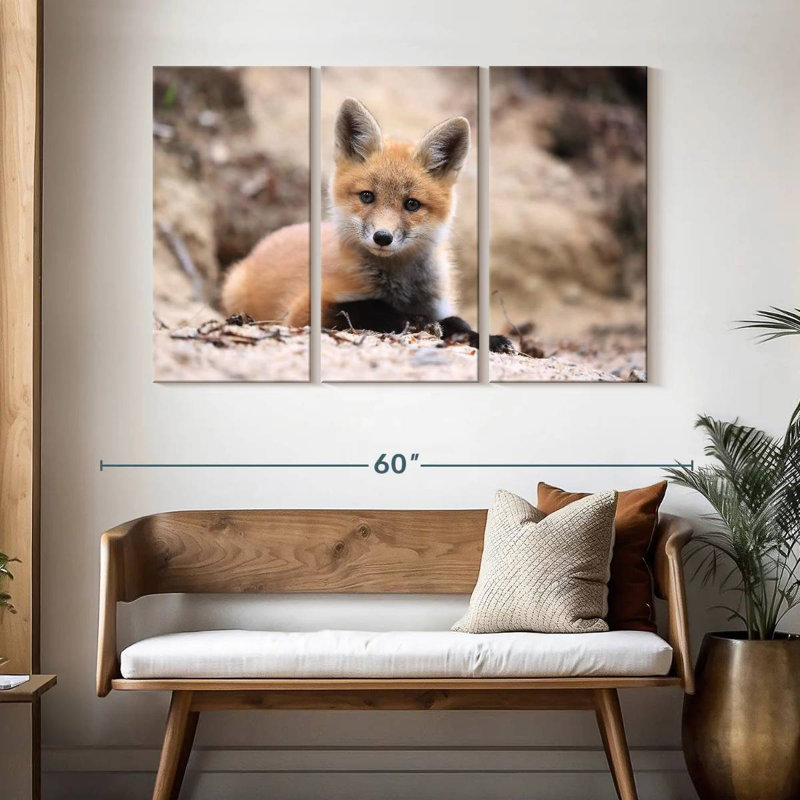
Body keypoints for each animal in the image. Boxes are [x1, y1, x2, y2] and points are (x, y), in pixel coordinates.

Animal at [221, 97, 513, 352]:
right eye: (367, 196)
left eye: (412, 204)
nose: (382, 237)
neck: (399, 287)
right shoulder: (303, 310)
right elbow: (368, 307)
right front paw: (416, 321)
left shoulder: (439, 304)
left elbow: (458, 322)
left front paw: (489, 339)